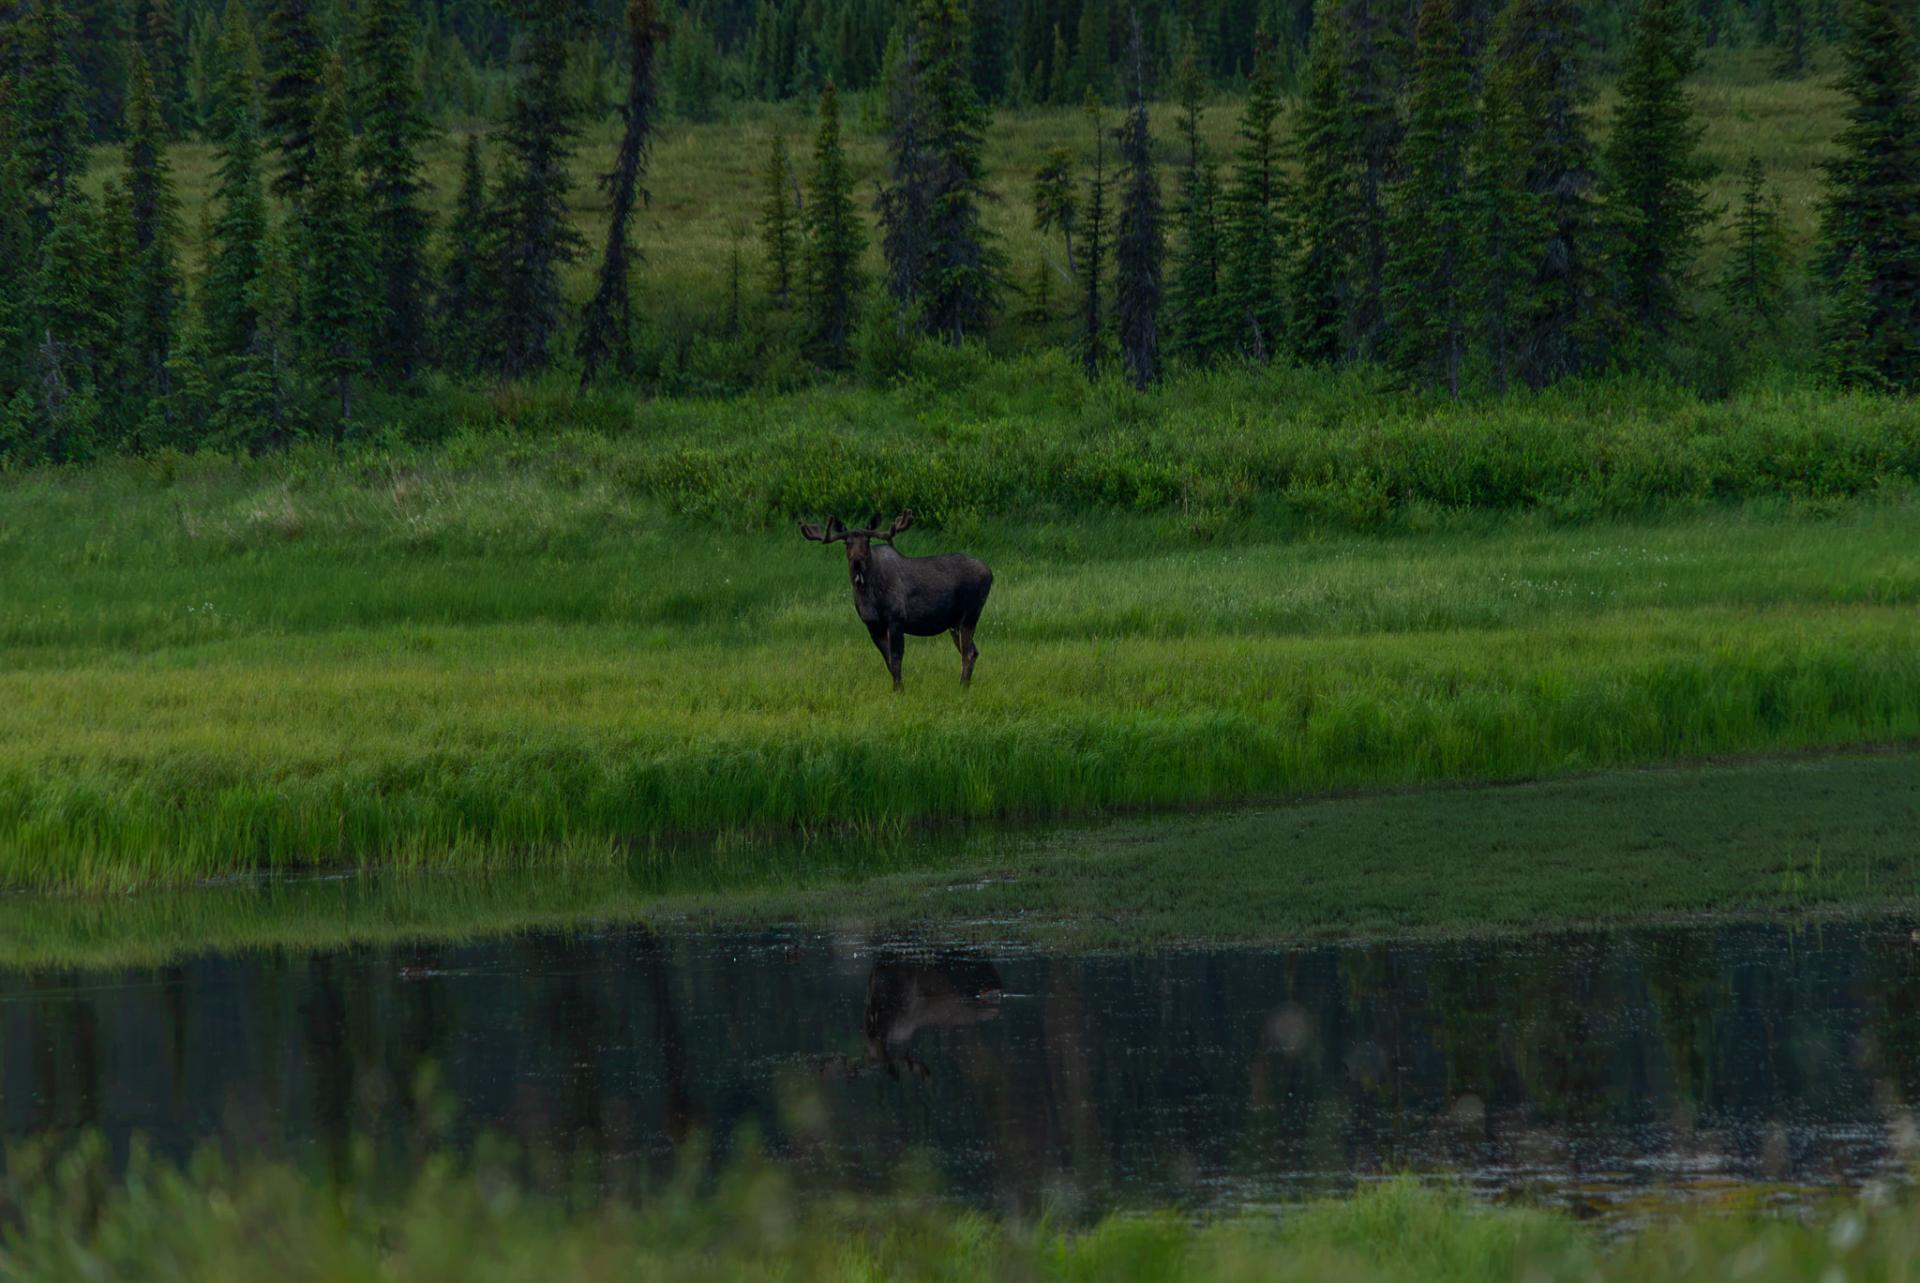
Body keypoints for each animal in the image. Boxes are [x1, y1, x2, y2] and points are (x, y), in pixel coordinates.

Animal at [797, 509, 993, 690]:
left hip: (970, 614)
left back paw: (962, 687)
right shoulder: (872, 625)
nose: (857, 560)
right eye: (846, 542)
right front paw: (897, 687)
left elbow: (897, 658)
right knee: (973, 651)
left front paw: (899, 690)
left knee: (968, 653)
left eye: (867, 541)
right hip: (953, 623)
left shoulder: (897, 619)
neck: (869, 596)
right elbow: (889, 660)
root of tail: (990, 573)